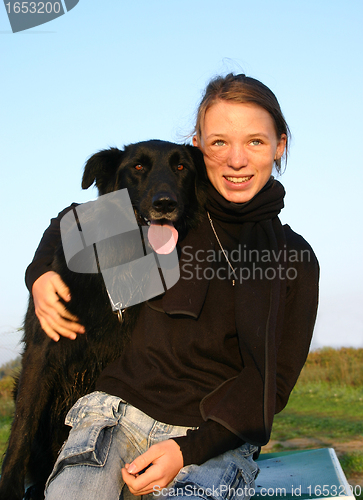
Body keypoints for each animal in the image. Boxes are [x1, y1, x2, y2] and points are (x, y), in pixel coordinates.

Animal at [0, 140, 205, 500]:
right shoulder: (42, 352)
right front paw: (8, 487)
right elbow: (23, 423)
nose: (165, 203)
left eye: (181, 167)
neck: (124, 259)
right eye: (138, 167)